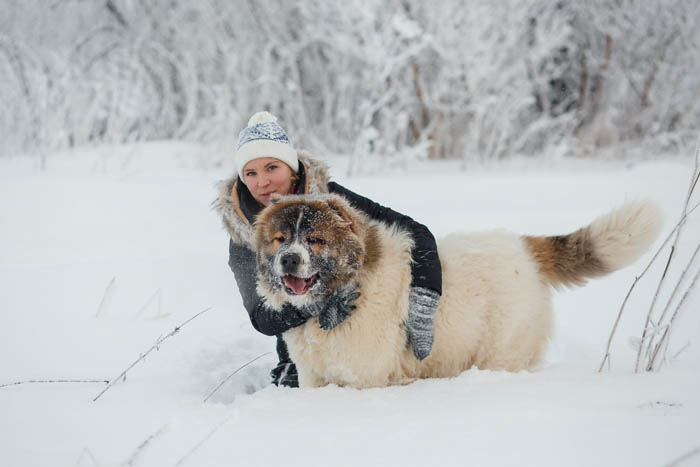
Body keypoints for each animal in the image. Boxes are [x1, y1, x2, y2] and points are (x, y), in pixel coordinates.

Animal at [254, 196, 660, 390]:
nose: (289, 259)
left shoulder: (366, 379)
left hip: (501, 351)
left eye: (315, 239)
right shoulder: (313, 377)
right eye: (280, 239)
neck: (340, 295)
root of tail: (524, 246)